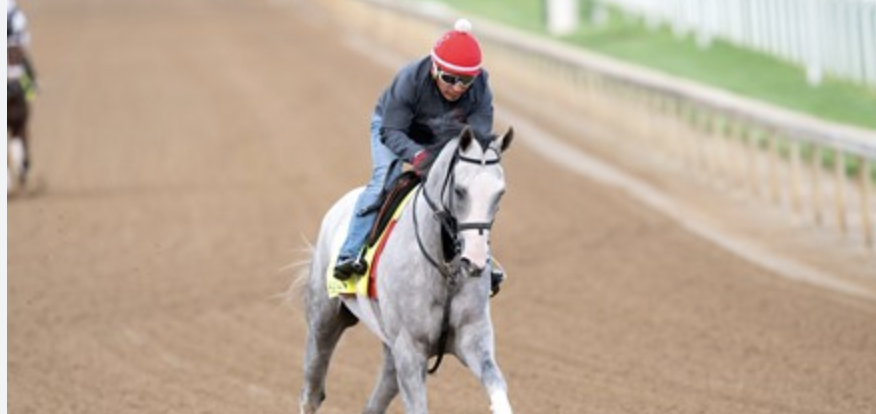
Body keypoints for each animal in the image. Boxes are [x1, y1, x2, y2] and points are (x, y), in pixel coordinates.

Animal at [297, 125, 514, 414]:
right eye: (459, 190)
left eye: (500, 193)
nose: (475, 261)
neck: (444, 270)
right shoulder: (410, 350)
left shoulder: (473, 340)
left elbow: (496, 385)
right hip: (324, 319)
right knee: (312, 391)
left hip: (390, 351)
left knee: (373, 405)